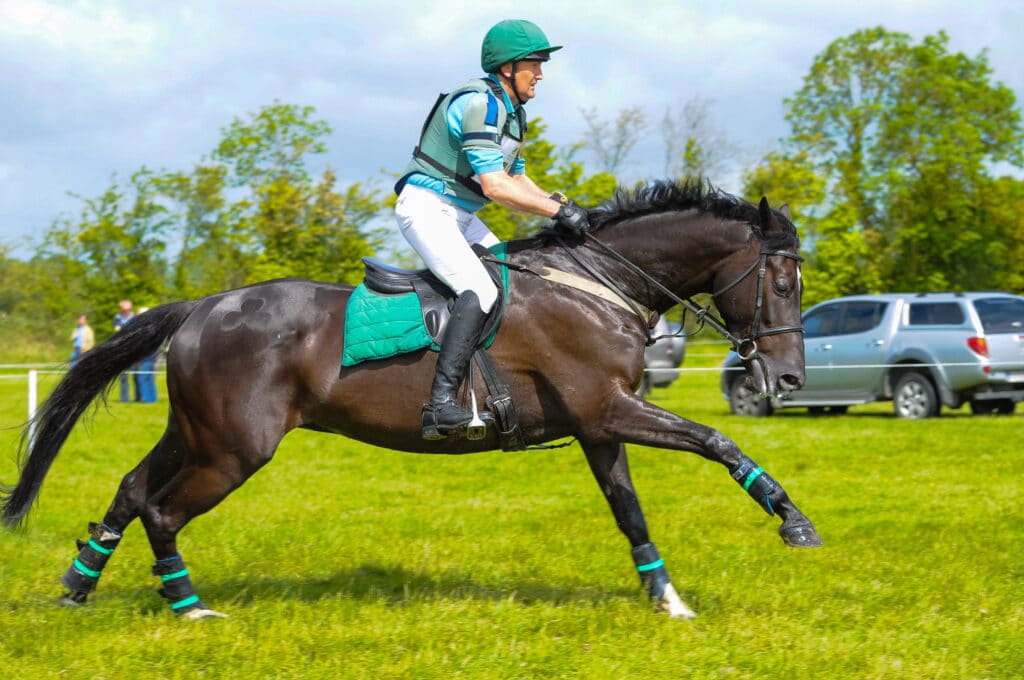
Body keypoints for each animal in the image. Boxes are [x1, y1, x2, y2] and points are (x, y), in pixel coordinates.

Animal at [0, 180, 815, 622]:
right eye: (781, 282)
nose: (787, 381)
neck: (599, 284)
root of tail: (202, 307)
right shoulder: (608, 409)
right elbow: (718, 441)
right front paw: (793, 520)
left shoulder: (598, 425)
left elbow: (630, 512)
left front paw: (668, 601)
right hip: (234, 448)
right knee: (162, 509)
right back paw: (188, 606)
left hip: (197, 432)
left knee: (132, 487)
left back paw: (77, 587)